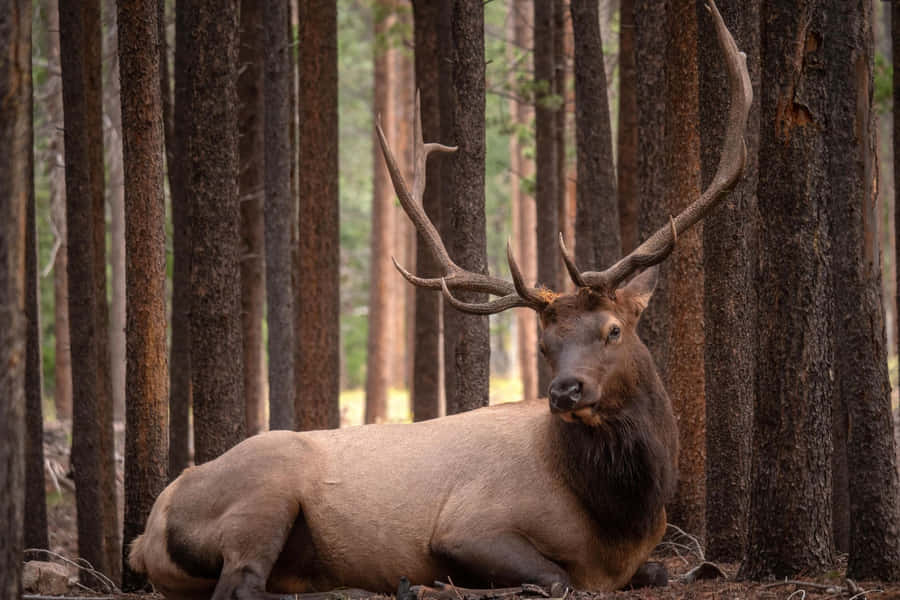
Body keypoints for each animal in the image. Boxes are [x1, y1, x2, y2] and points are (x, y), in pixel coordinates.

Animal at [128, 3, 751, 599]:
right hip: (263, 490)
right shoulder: (467, 526)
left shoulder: (641, 557)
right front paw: (451, 581)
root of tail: (145, 533)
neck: (621, 520)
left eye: (613, 330)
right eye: (545, 345)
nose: (564, 391)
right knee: (240, 583)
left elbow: (662, 571)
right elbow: (557, 578)